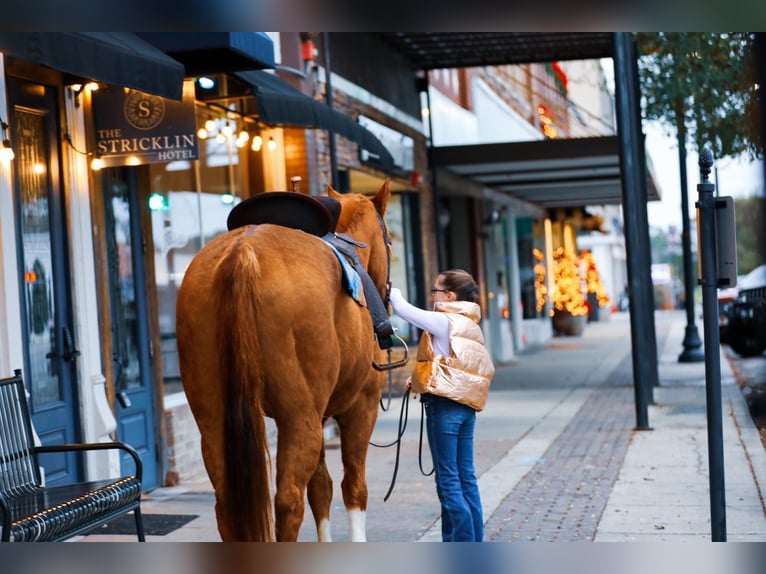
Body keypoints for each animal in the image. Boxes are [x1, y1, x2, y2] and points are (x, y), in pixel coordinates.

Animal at [175, 180, 393, 541]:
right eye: (390, 240)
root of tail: (242, 253)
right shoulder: (361, 406)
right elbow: (353, 487)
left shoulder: (322, 414)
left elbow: (321, 488)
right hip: (299, 418)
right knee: (289, 503)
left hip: (214, 420)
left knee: (227, 506)